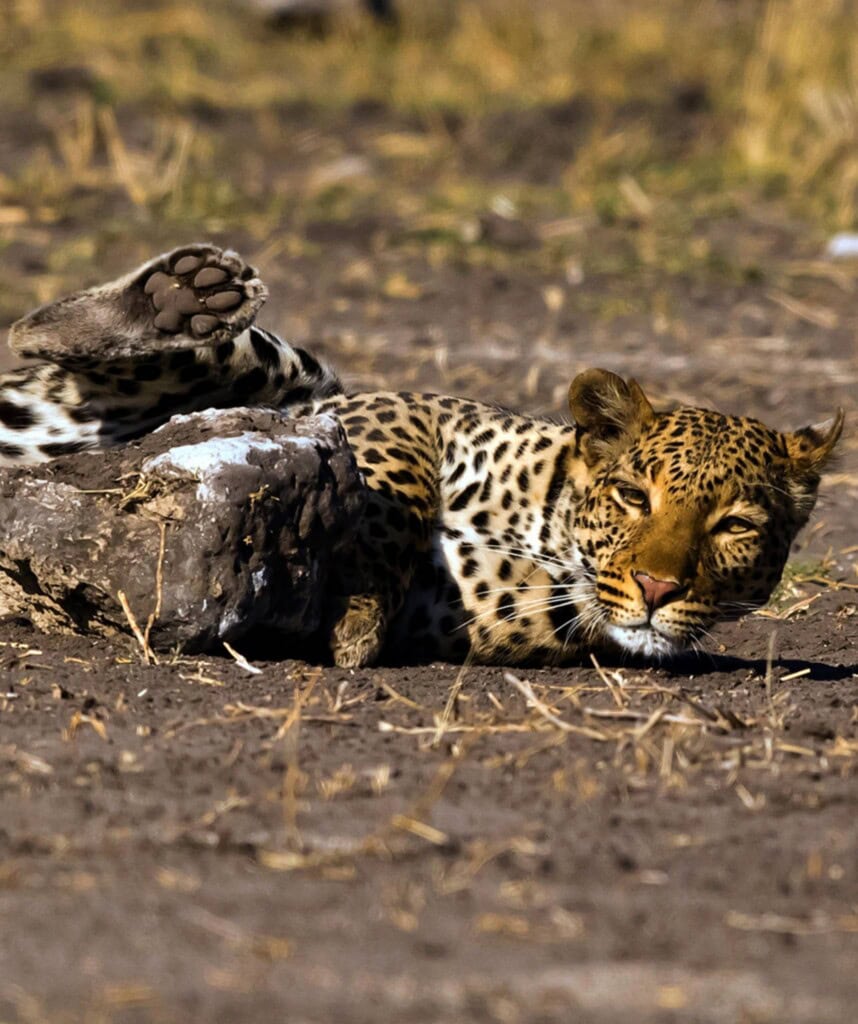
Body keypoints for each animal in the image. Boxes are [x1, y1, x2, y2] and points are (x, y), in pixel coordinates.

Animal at [0, 244, 844, 668]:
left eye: (734, 526)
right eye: (635, 496)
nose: (658, 587)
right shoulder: (390, 408)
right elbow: (392, 486)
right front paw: (356, 613)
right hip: (288, 370)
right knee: (31, 334)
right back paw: (182, 294)